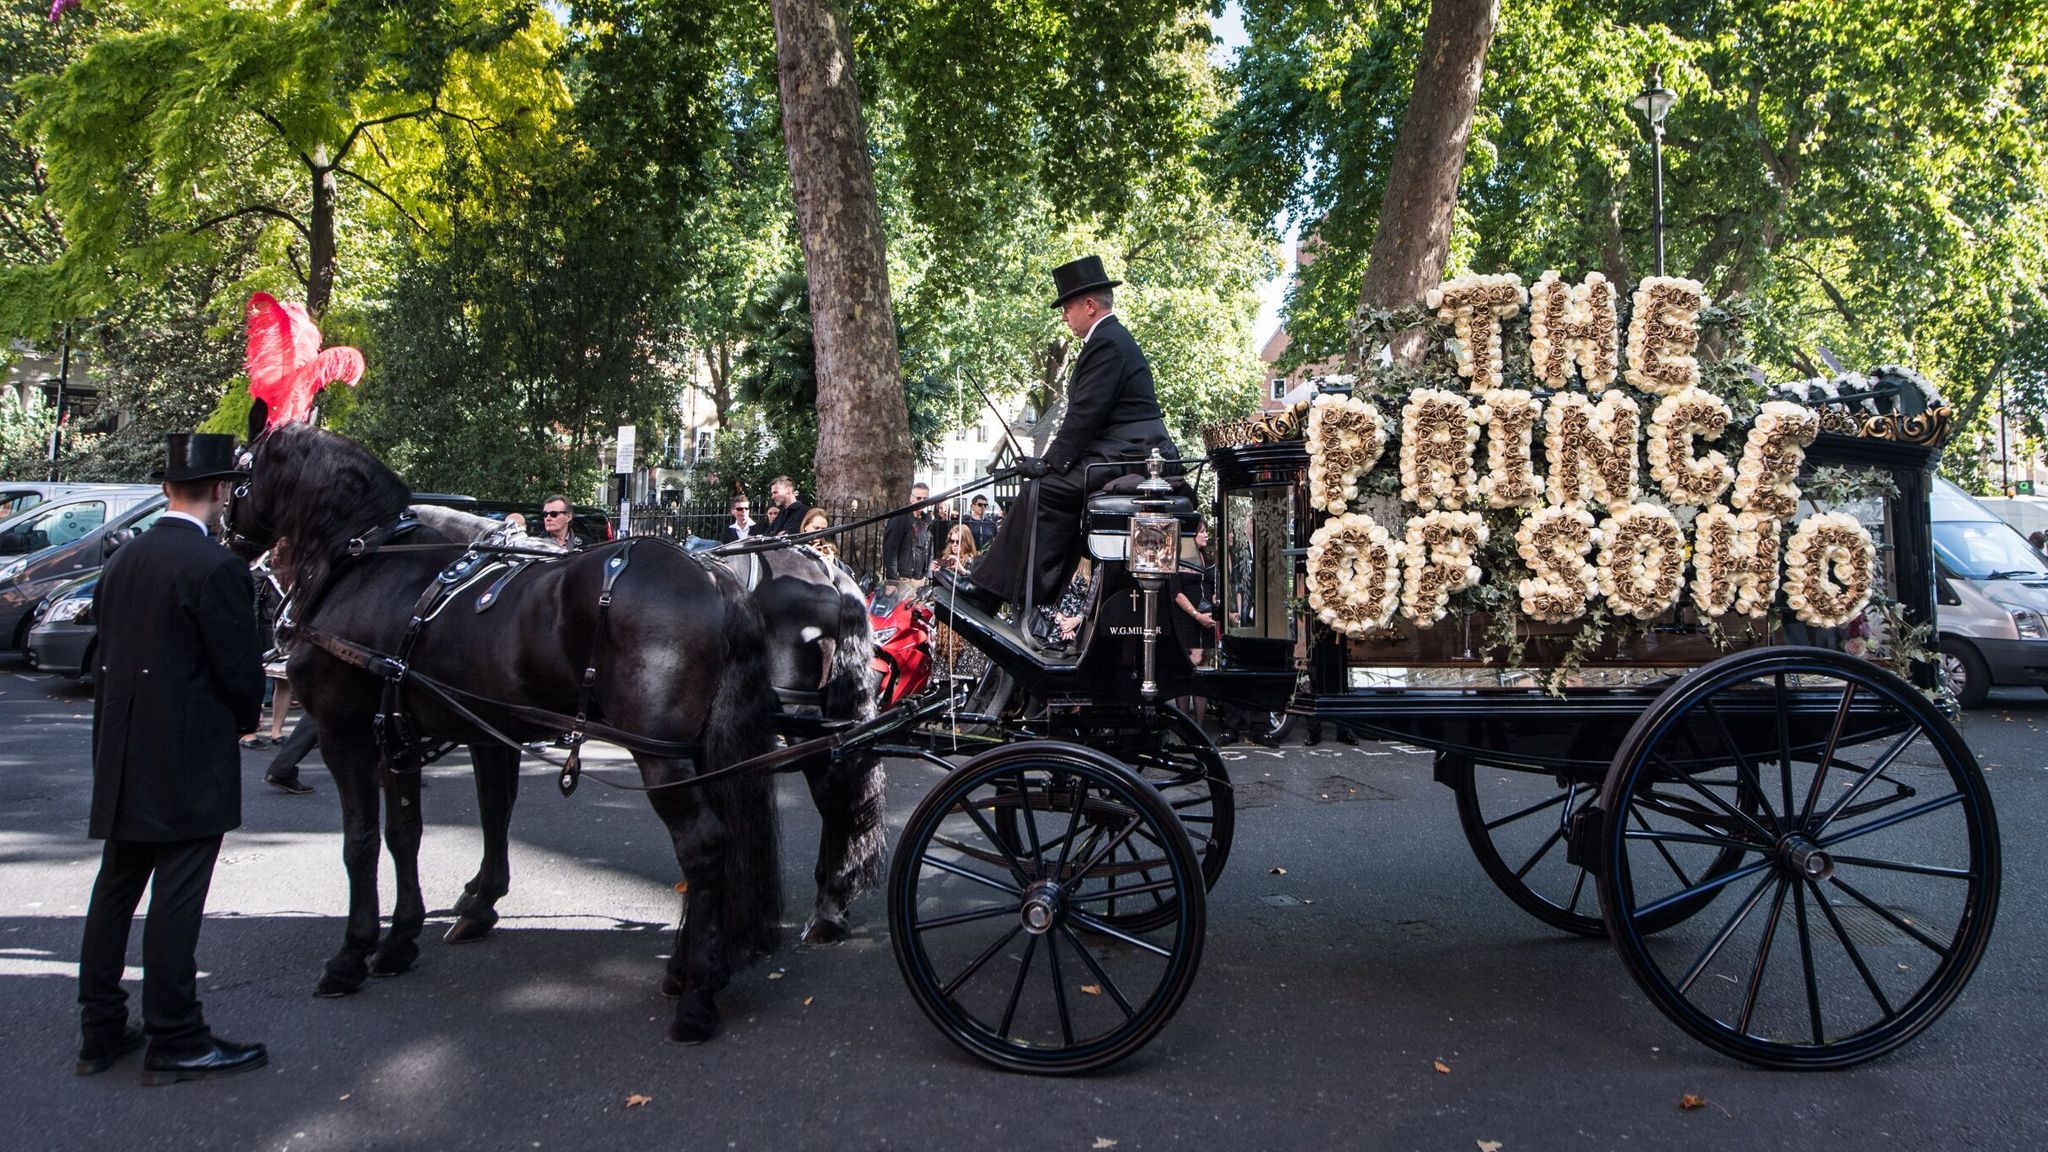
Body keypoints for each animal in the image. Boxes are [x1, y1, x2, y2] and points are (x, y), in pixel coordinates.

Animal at [226, 424, 880, 1041]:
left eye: (237, 477)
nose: (239, 548)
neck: (377, 563)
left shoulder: (350, 730)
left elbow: (363, 840)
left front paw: (355, 952)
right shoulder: (451, 730)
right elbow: (440, 823)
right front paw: (439, 918)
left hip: (682, 748)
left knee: (717, 840)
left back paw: (707, 988)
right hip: (729, 741)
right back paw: (739, 948)